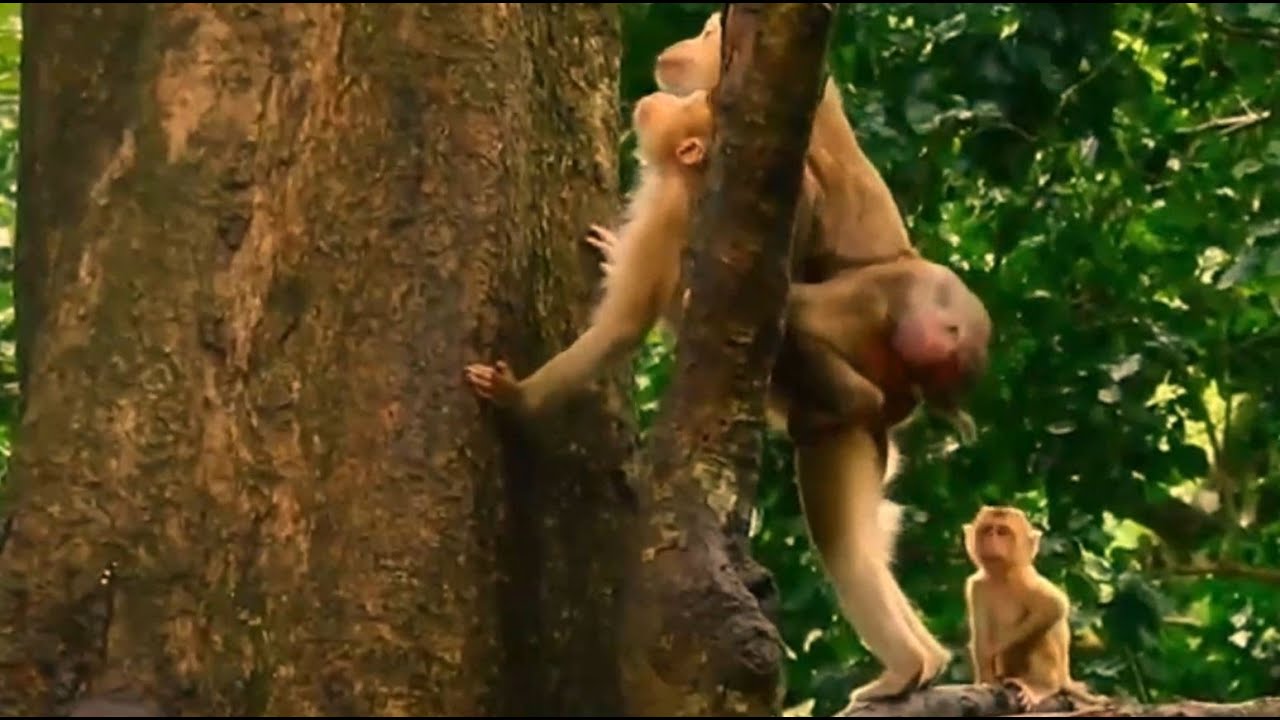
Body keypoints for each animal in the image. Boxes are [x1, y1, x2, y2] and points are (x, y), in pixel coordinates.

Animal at [963, 506, 1106, 711]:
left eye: (1002, 532)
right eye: (988, 530)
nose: (992, 538)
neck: (1001, 576)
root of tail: (1066, 678)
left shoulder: (1024, 579)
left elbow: (1054, 607)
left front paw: (997, 651)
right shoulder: (977, 587)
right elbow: (981, 639)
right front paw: (986, 679)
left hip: (1056, 672)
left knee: (1041, 630)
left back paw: (1042, 686)